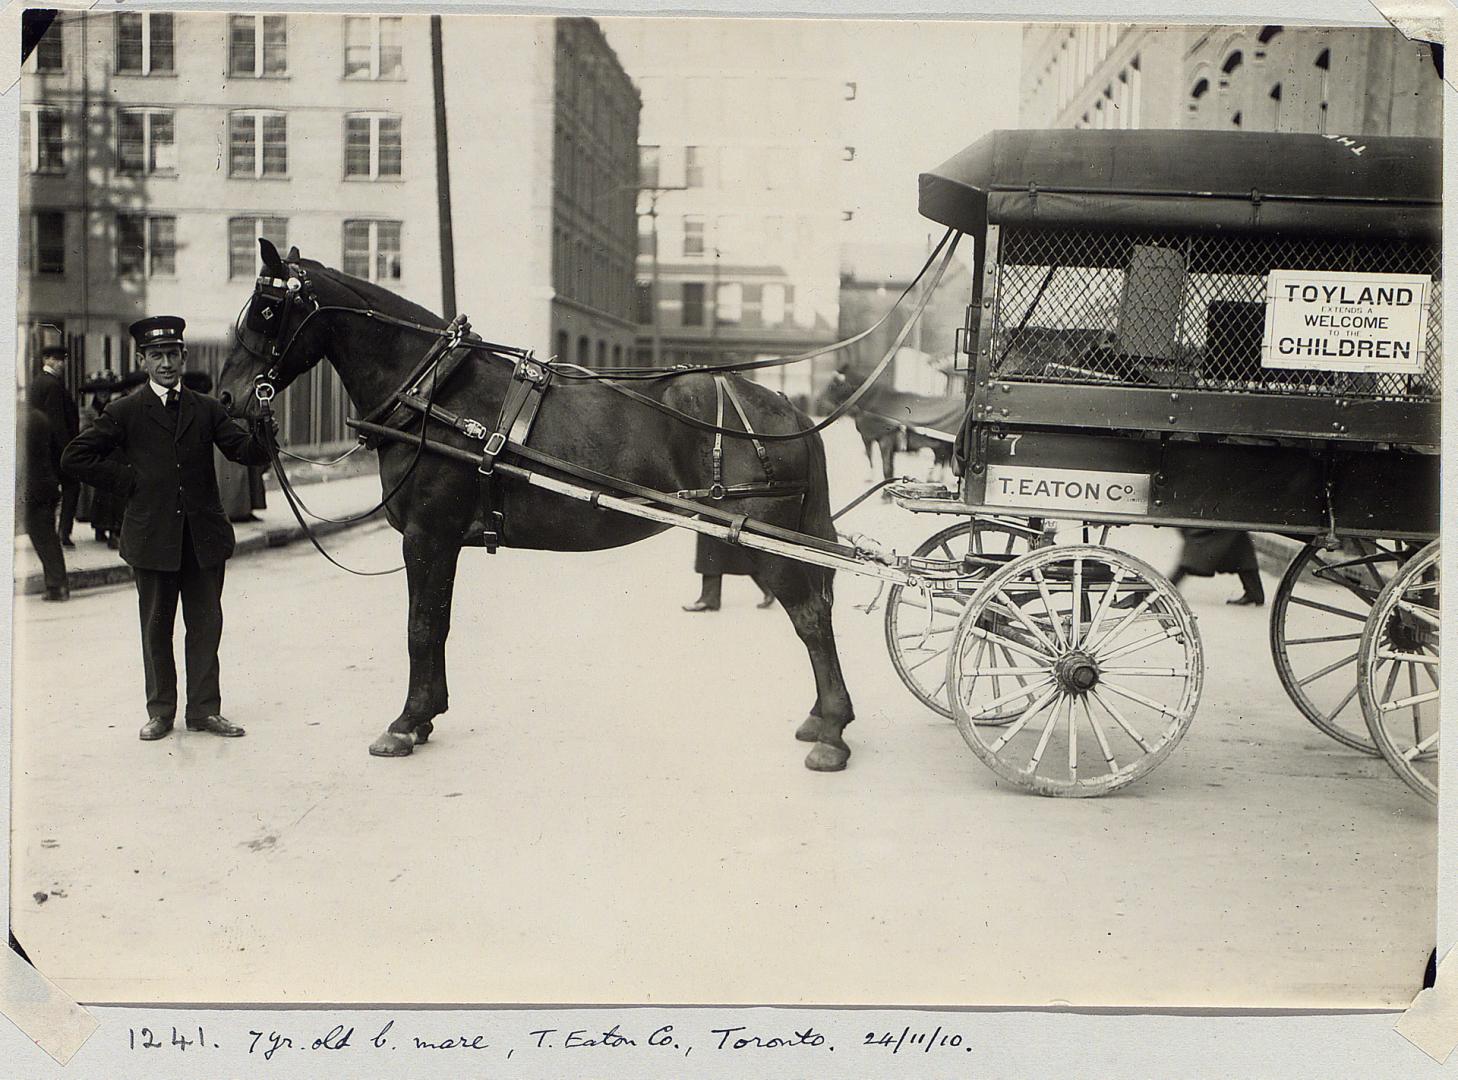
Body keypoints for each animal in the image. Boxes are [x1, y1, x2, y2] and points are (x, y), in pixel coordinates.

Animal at [215, 240, 851, 769]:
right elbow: (437, 622)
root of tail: (787, 407)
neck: (434, 393)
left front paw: (405, 722)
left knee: (811, 617)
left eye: (268, 310)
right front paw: (426, 717)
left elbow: (421, 625)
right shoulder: (442, 541)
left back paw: (832, 732)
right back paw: (822, 719)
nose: (225, 398)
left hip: (763, 536)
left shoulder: (427, 533)